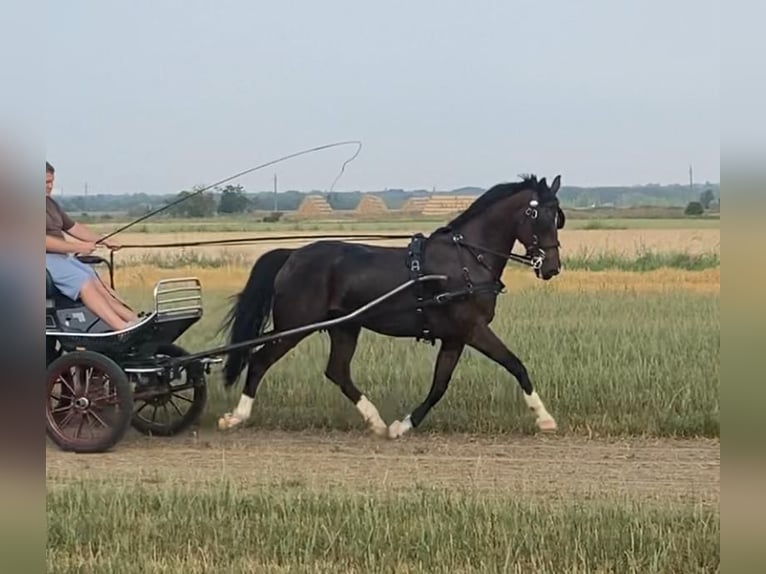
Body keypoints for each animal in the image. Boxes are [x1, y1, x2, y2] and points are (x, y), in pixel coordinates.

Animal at [219, 173, 568, 438]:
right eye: (535, 214)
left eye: (558, 217)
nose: (551, 267)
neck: (466, 259)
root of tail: (293, 255)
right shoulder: (473, 329)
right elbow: (515, 364)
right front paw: (545, 418)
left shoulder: (454, 337)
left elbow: (439, 385)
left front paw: (403, 425)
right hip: (295, 325)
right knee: (260, 361)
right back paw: (236, 416)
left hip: (345, 326)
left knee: (337, 371)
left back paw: (375, 421)